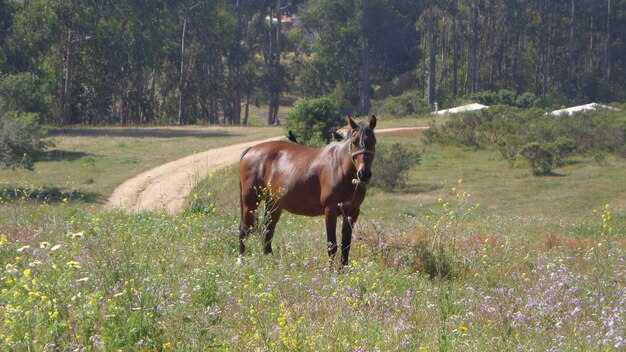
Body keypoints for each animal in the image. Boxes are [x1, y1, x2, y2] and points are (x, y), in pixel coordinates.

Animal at [239, 115, 376, 266]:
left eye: (373, 141)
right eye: (354, 142)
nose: (364, 174)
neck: (340, 169)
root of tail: (251, 149)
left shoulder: (352, 213)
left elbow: (346, 246)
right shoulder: (330, 211)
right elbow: (332, 245)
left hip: (274, 204)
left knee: (267, 233)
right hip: (251, 202)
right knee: (244, 230)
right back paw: (241, 261)